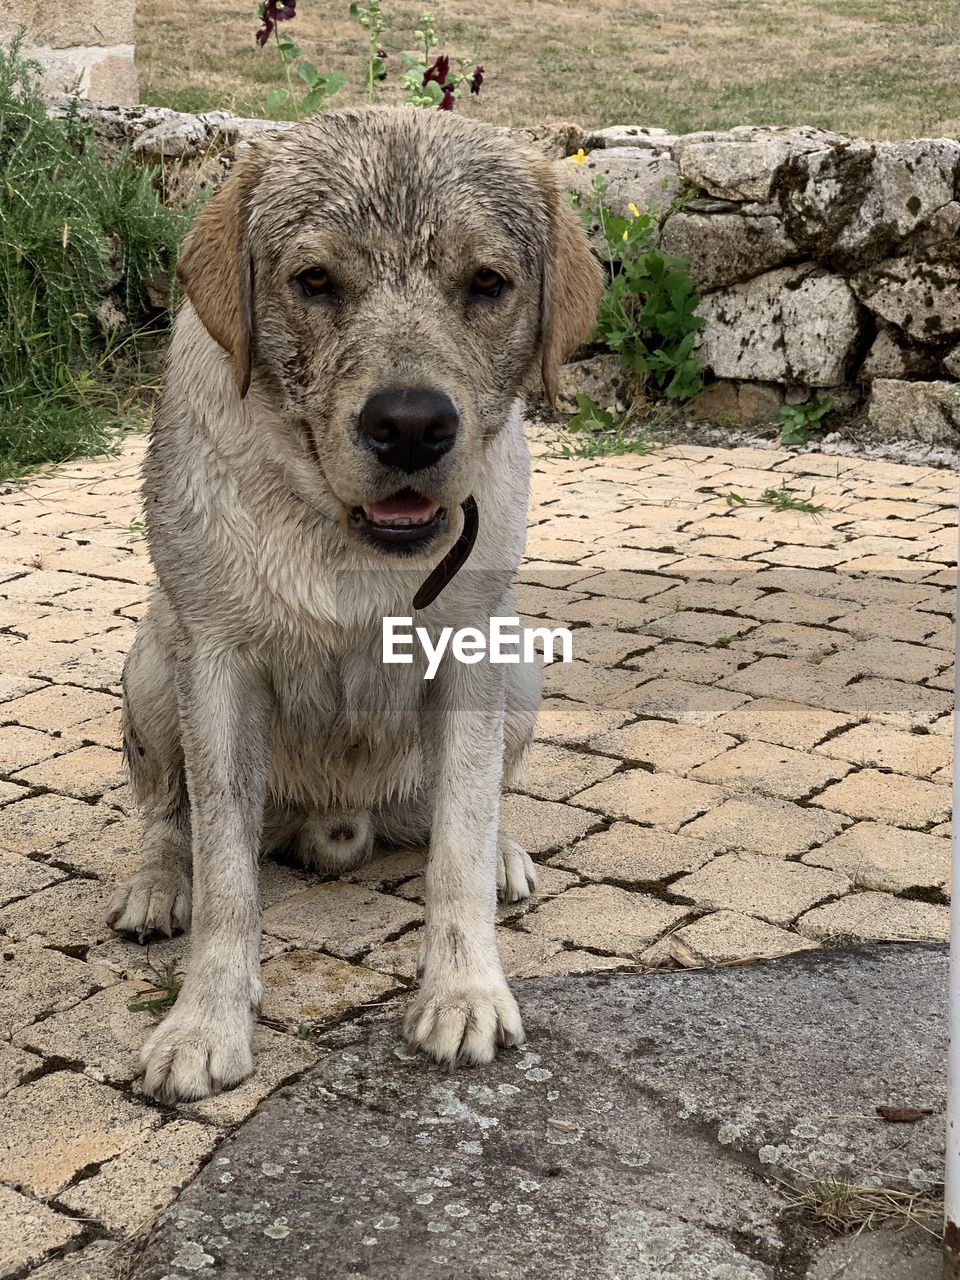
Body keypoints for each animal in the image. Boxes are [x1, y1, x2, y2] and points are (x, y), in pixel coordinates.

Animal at [104, 107, 601, 1100]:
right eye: (314, 281)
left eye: (488, 283)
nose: (410, 425)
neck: (347, 545)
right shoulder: (217, 665)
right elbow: (225, 872)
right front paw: (205, 1021)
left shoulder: (472, 651)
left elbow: (458, 840)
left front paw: (464, 991)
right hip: (151, 663)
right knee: (168, 815)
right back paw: (157, 884)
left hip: (522, 668)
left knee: (465, 810)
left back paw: (504, 856)